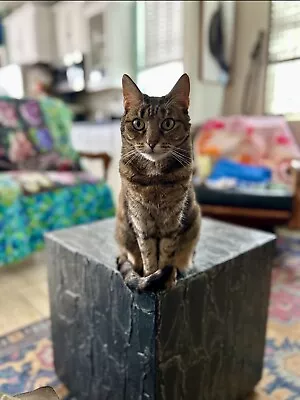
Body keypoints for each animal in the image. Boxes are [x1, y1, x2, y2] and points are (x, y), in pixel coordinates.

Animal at [116, 73, 200, 290]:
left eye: (168, 123)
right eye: (138, 123)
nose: (151, 142)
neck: (154, 179)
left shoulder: (172, 221)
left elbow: (167, 253)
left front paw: (167, 278)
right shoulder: (141, 222)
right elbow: (148, 254)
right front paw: (151, 276)